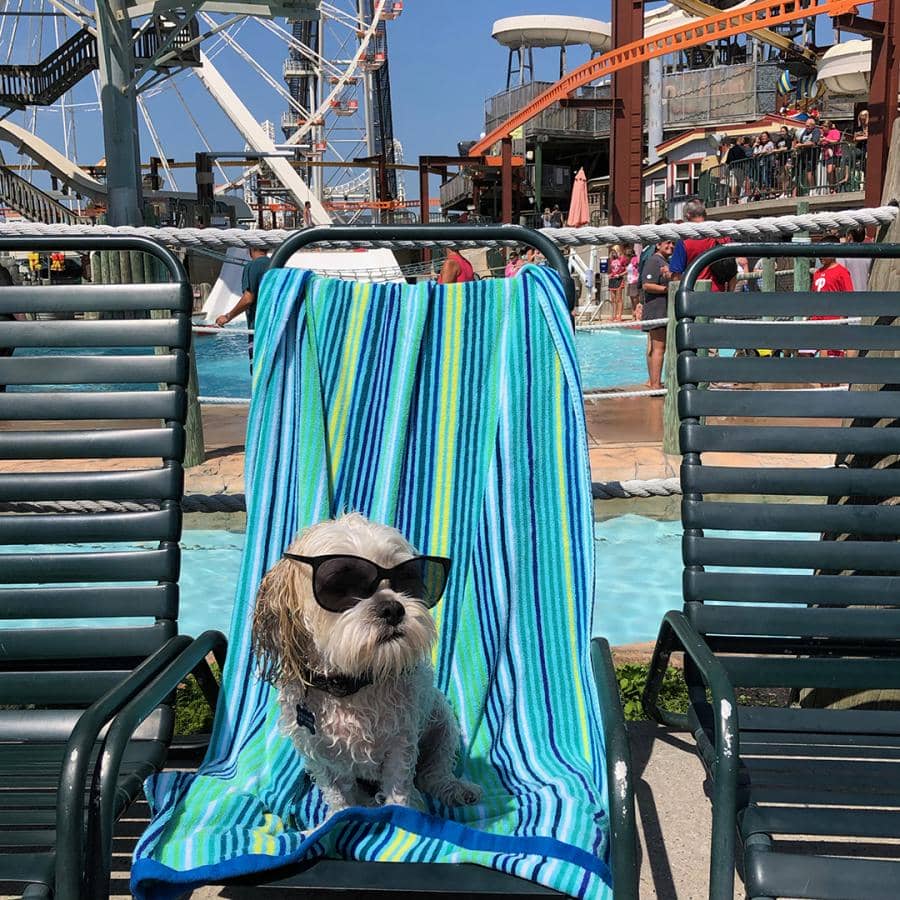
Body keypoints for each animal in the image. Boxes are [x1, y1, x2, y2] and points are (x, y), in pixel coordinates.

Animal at [250, 512, 482, 816]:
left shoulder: (401, 743)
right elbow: (338, 795)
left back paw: (451, 788)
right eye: (341, 585)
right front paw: (343, 816)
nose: (393, 608)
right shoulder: (320, 756)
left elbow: (399, 787)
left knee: (434, 772)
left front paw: (402, 817)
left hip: (442, 722)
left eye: (406, 579)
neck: (351, 683)